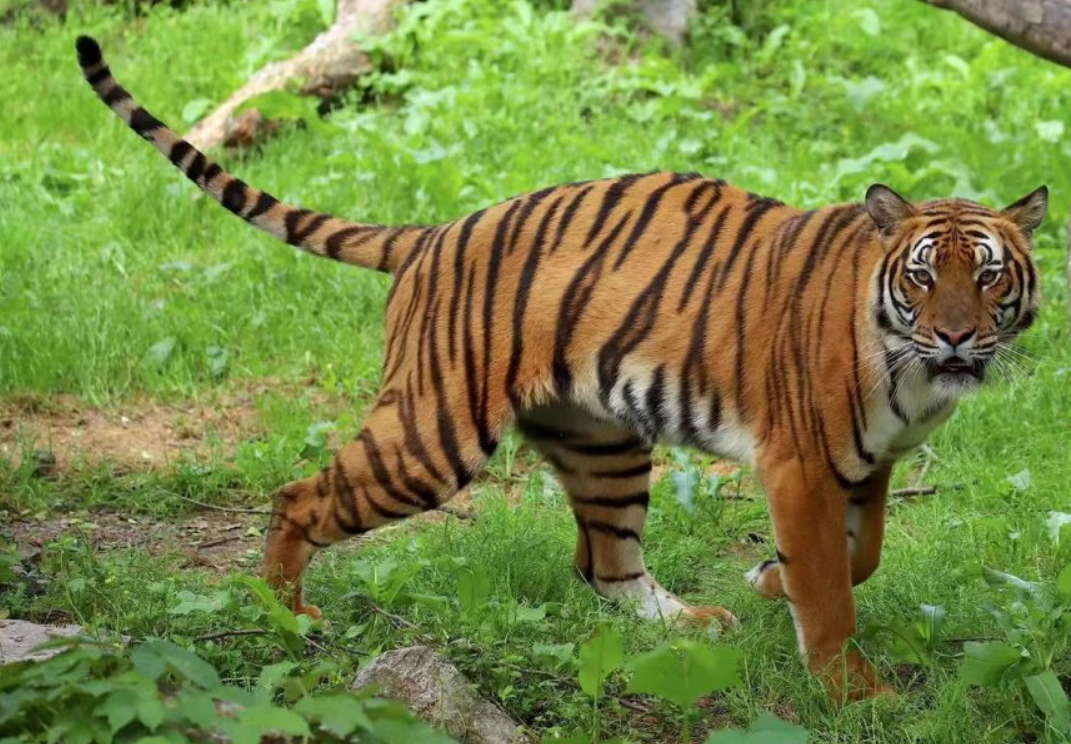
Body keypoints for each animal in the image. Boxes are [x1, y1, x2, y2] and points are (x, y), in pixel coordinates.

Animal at [76, 35, 1046, 700]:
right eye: (921, 275)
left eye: (986, 274)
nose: (955, 338)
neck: (911, 375)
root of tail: (432, 233)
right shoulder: (801, 463)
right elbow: (833, 587)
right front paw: (852, 692)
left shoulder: (866, 465)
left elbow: (861, 557)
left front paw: (771, 583)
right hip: (432, 435)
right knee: (299, 496)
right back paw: (289, 612)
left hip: (602, 444)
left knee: (603, 566)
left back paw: (691, 622)